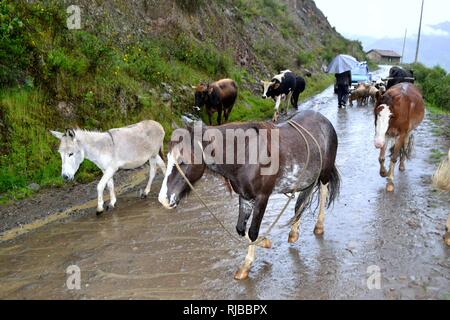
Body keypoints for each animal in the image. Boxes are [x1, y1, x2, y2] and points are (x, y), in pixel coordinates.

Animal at [158, 112, 342, 280]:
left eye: (182, 161)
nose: (163, 199)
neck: (245, 157)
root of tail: (324, 120)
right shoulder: (245, 197)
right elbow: (240, 229)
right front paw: (264, 242)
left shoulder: (262, 197)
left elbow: (252, 231)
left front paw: (246, 266)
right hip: (306, 179)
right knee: (301, 202)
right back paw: (293, 232)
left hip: (324, 174)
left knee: (322, 193)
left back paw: (319, 226)